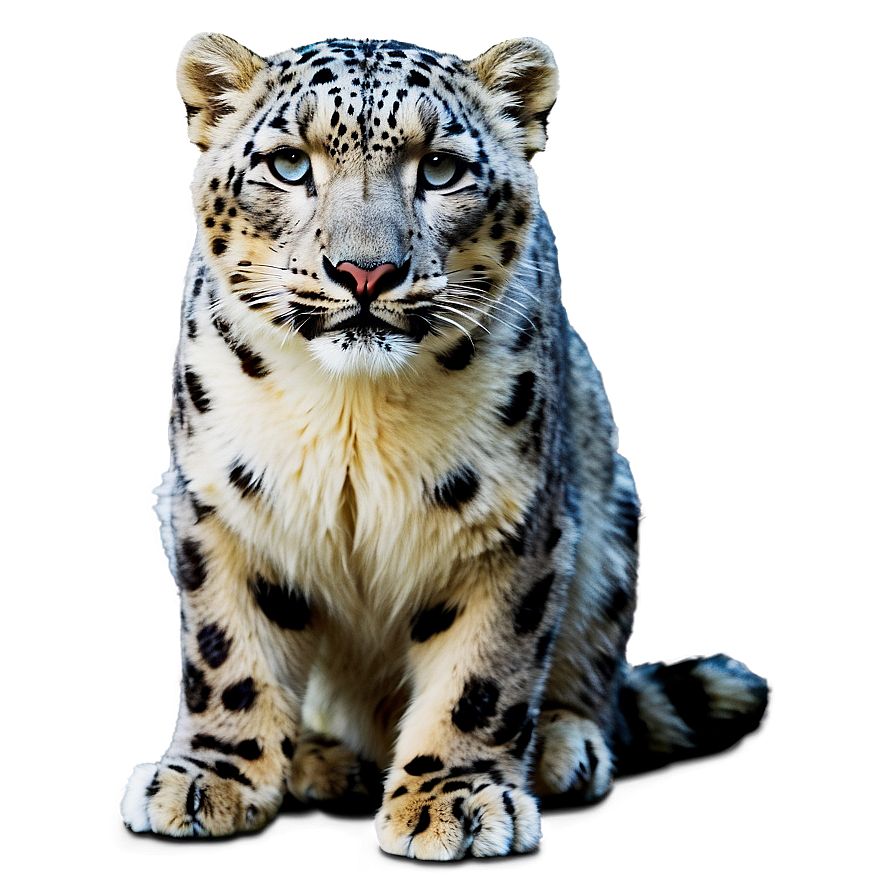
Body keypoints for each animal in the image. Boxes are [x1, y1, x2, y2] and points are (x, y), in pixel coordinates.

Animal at [120, 32, 769, 860]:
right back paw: (322, 760)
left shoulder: (512, 522)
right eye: (290, 163)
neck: (352, 412)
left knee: (593, 676)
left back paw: (566, 749)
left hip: (609, 526)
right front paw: (210, 778)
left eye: (439, 169)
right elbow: (226, 649)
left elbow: (484, 669)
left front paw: (452, 800)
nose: (365, 271)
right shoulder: (222, 504)